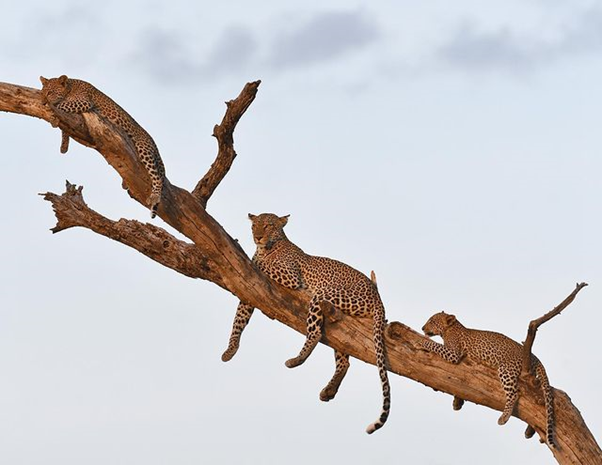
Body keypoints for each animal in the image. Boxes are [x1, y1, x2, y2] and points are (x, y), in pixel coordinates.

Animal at [39, 75, 164, 218]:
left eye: (50, 92)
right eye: (42, 92)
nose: (42, 102)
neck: (70, 87)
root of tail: (153, 142)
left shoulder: (84, 102)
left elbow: (61, 106)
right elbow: (65, 129)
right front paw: (64, 146)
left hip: (144, 148)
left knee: (157, 177)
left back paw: (154, 196)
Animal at [220, 212, 390, 434]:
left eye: (268, 226)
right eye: (254, 226)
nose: (258, 237)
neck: (266, 248)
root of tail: (378, 297)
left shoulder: (290, 276)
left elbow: (262, 265)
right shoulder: (249, 289)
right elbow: (238, 319)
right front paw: (230, 350)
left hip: (323, 295)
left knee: (315, 333)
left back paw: (296, 360)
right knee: (344, 359)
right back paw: (329, 390)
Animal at [418, 310, 552, 448]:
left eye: (432, 321)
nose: (422, 328)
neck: (448, 330)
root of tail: (534, 356)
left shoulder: (454, 353)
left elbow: (435, 345)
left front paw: (421, 342)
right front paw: (457, 402)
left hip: (506, 369)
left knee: (514, 394)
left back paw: (504, 417)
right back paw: (528, 431)